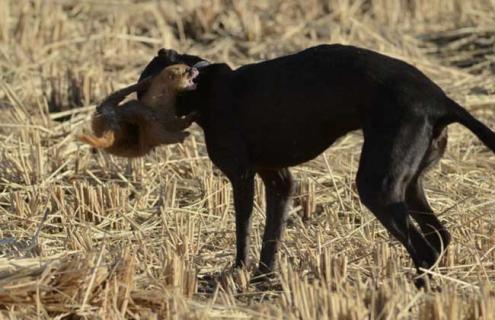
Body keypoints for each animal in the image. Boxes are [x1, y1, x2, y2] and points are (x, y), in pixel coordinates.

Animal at [139, 43, 495, 286]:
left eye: (143, 84)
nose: (135, 107)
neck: (204, 84)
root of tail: (440, 100)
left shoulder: (241, 175)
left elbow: (243, 227)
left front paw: (237, 271)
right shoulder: (278, 180)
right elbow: (272, 234)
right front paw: (262, 278)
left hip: (378, 186)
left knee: (424, 248)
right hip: (408, 184)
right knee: (439, 237)